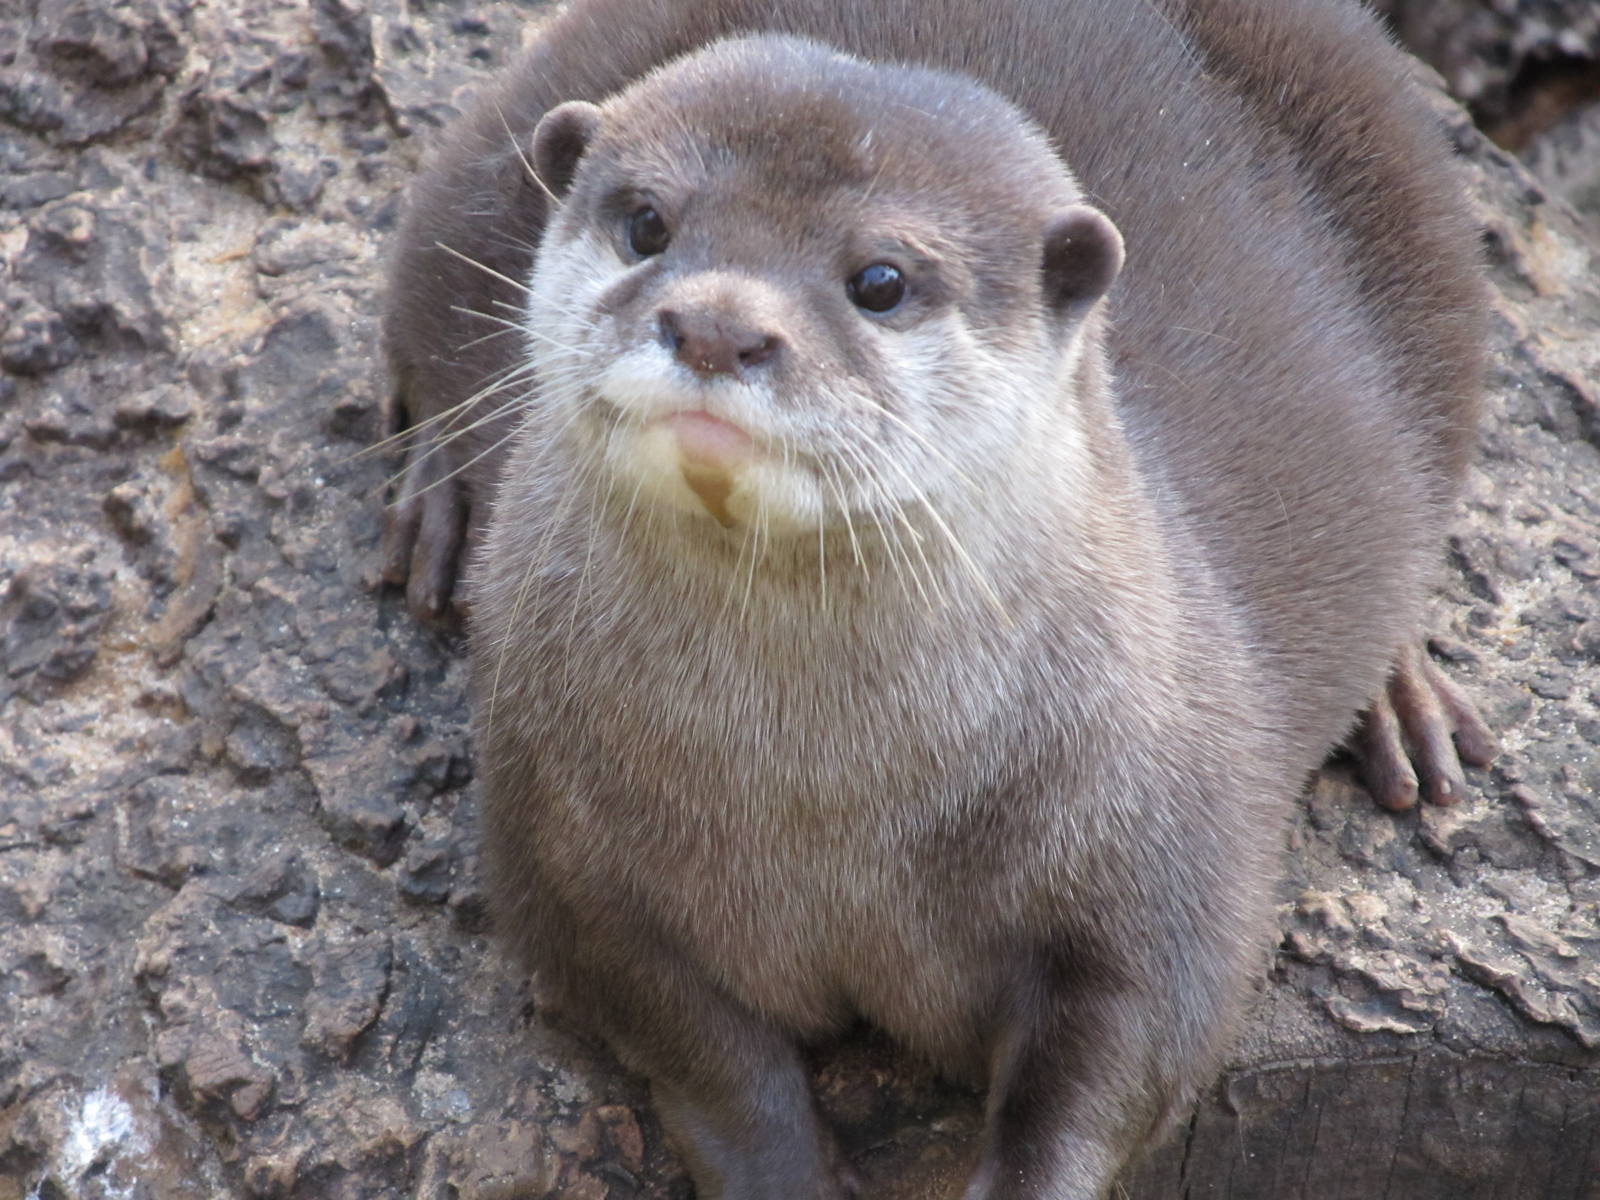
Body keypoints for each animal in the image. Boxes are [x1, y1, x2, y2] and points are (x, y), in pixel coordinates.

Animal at [380, 2, 1494, 1196]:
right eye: (646, 224)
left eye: (879, 280)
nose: (717, 326)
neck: (828, 803)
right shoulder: (563, 850)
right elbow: (698, 1052)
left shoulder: (1168, 867)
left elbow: (1122, 1062)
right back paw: (437, 498)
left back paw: (1406, 710)